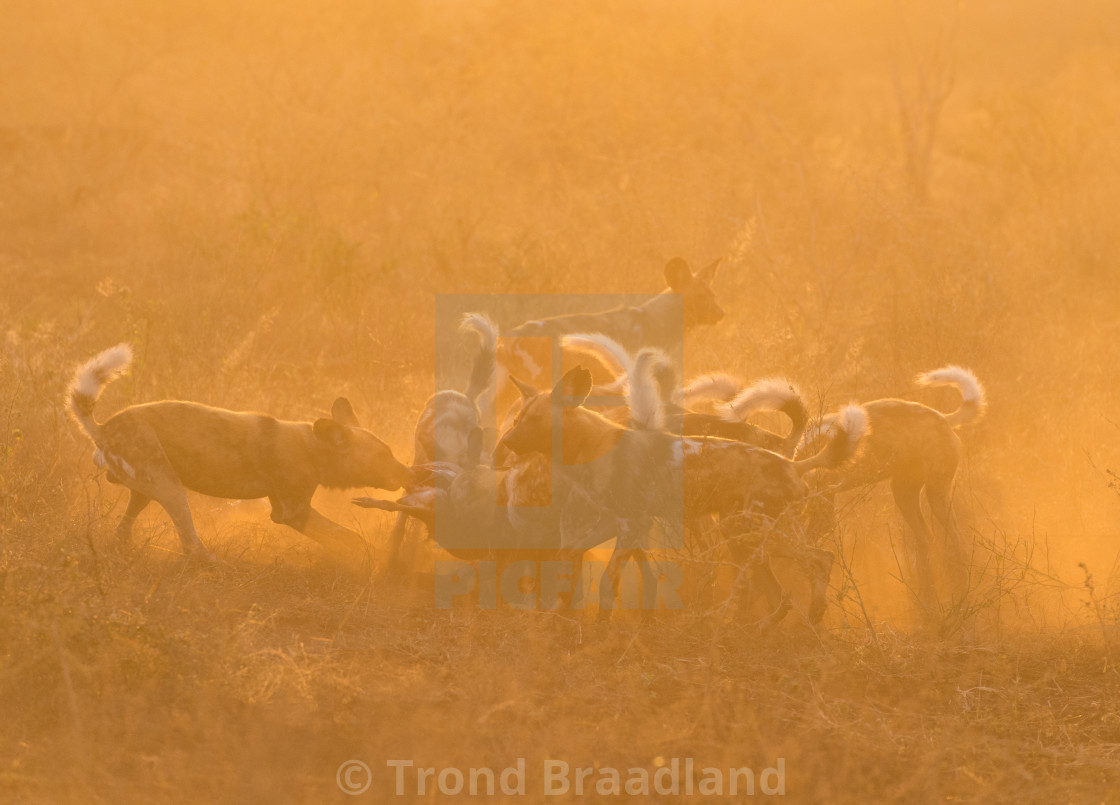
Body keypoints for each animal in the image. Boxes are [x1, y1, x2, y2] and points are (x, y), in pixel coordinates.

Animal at [65, 344, 409, 559]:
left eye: (390, 452)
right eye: (382, 457)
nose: (408, 472)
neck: (313, 447)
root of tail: (104, 427)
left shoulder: (286, 510)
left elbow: (343, 536)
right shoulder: (293, 512)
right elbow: (348, 537)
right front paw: (372, 558)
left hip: (144, 493)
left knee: (123, 530)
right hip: (170, 488)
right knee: (190, 543)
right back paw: (214, 564)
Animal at [792, 369, 985, 600]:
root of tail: (942, 418)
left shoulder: (823, 513)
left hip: (936, 495)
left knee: (956, 539)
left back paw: (961, 582)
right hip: (903, 495)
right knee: (925, 538)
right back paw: (924, 587)